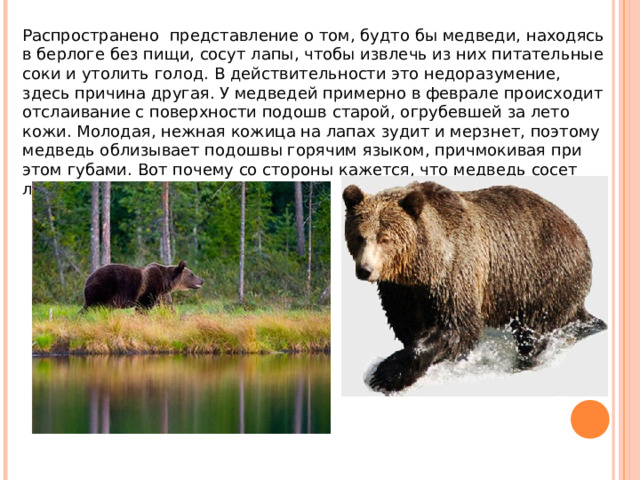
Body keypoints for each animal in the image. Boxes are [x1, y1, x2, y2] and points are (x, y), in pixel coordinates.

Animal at [343, 181, 607, 392]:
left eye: (385, 239)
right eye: (359, 236)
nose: (365, 269)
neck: (423, 265)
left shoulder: (456, 270)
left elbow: (458, 326)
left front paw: (386, 374)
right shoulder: (400, 290)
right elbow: (408, 324)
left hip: (544, 276)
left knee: (534, 331)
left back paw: (525, 361)